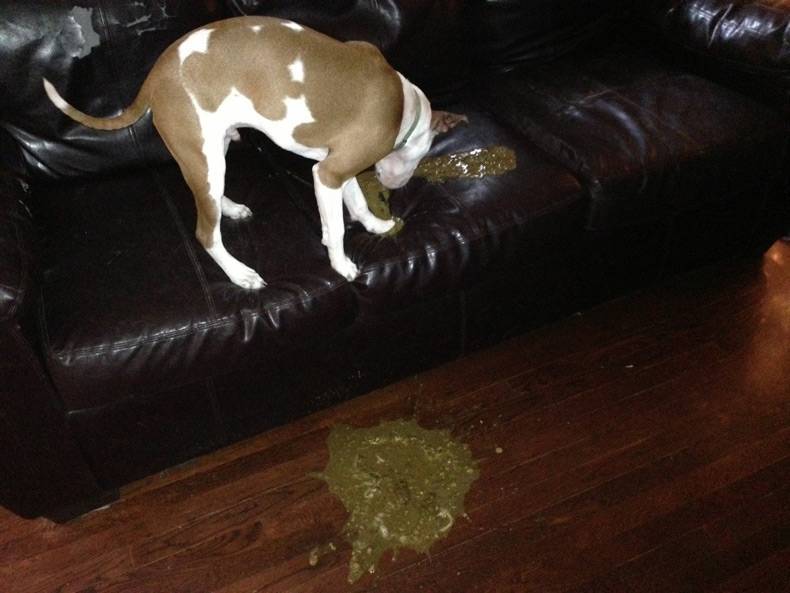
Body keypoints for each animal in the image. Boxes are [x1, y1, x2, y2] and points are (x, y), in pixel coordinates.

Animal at [43, 16, 467, 289]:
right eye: (423, 155)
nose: (397, 186)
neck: (403, 104)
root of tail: (156, 74)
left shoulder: (333, 166)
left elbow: (357, 203)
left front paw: (376, 226)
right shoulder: (329, 173)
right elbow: (336, 227)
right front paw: (341, 264)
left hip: (209, 158)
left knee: (210, 201)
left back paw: (230, 209)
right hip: (206, 159)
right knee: (205, 233)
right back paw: (239, 273)